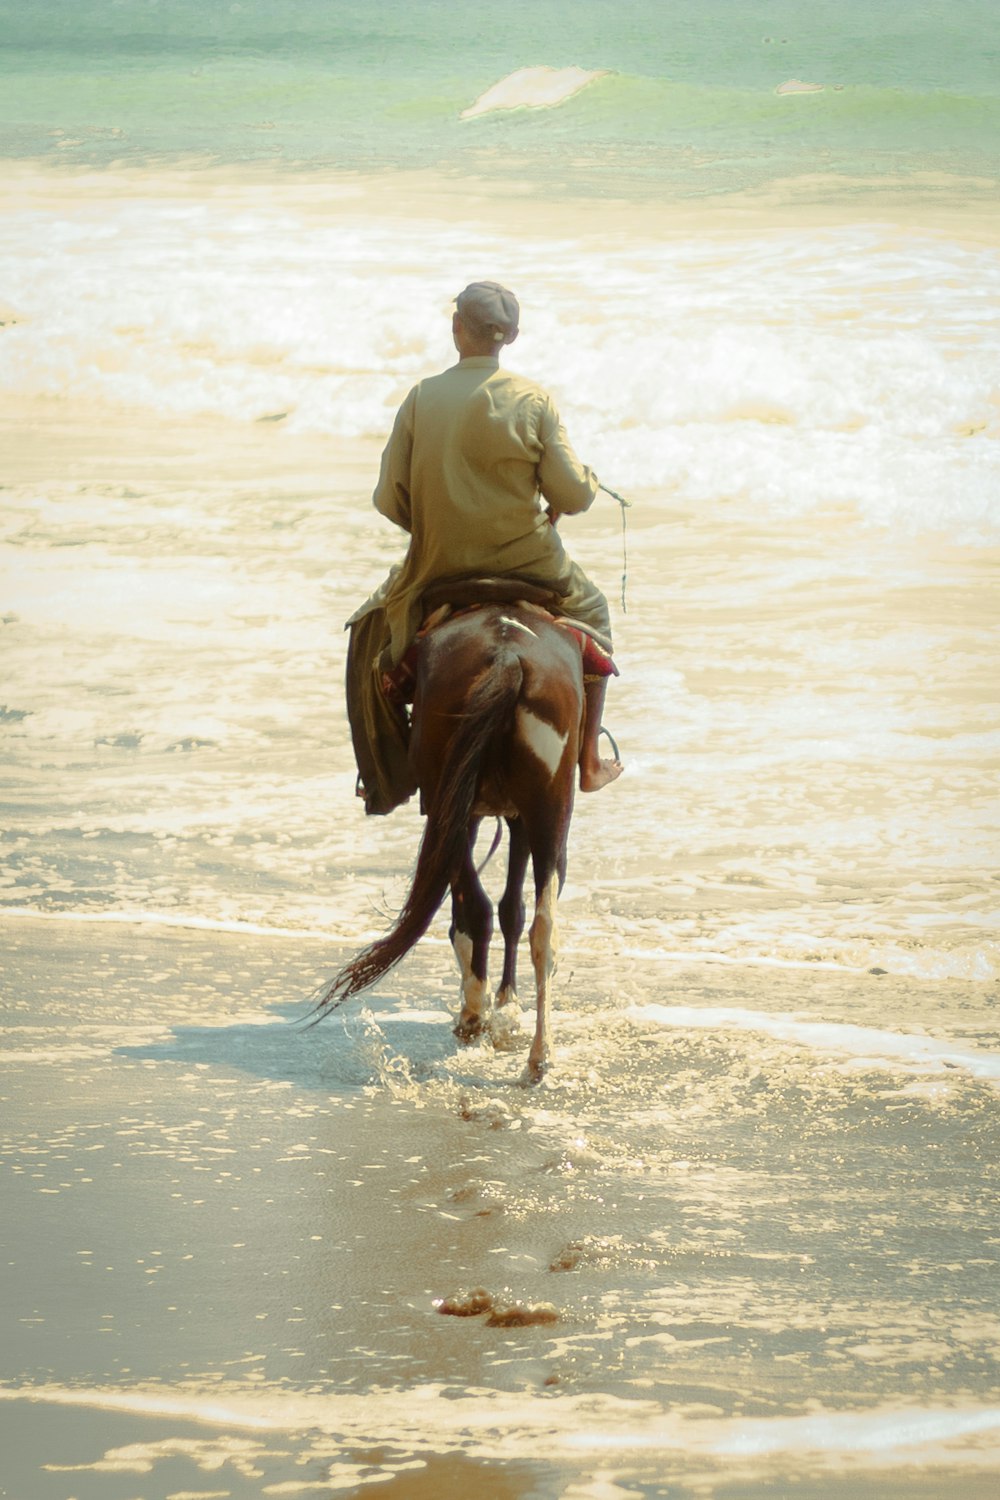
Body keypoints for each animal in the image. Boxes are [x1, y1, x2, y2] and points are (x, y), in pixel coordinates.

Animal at [316, 597, 581, 1080]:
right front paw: (505, 1006)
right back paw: (532, 1051)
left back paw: (487, 1019)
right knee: (537, 924)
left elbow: (497, 907)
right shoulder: (511, 814)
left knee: (483, 907)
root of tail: (508, 656)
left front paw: (501, 1005)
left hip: (456, 799)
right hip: (546, 807)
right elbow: (510, 907)